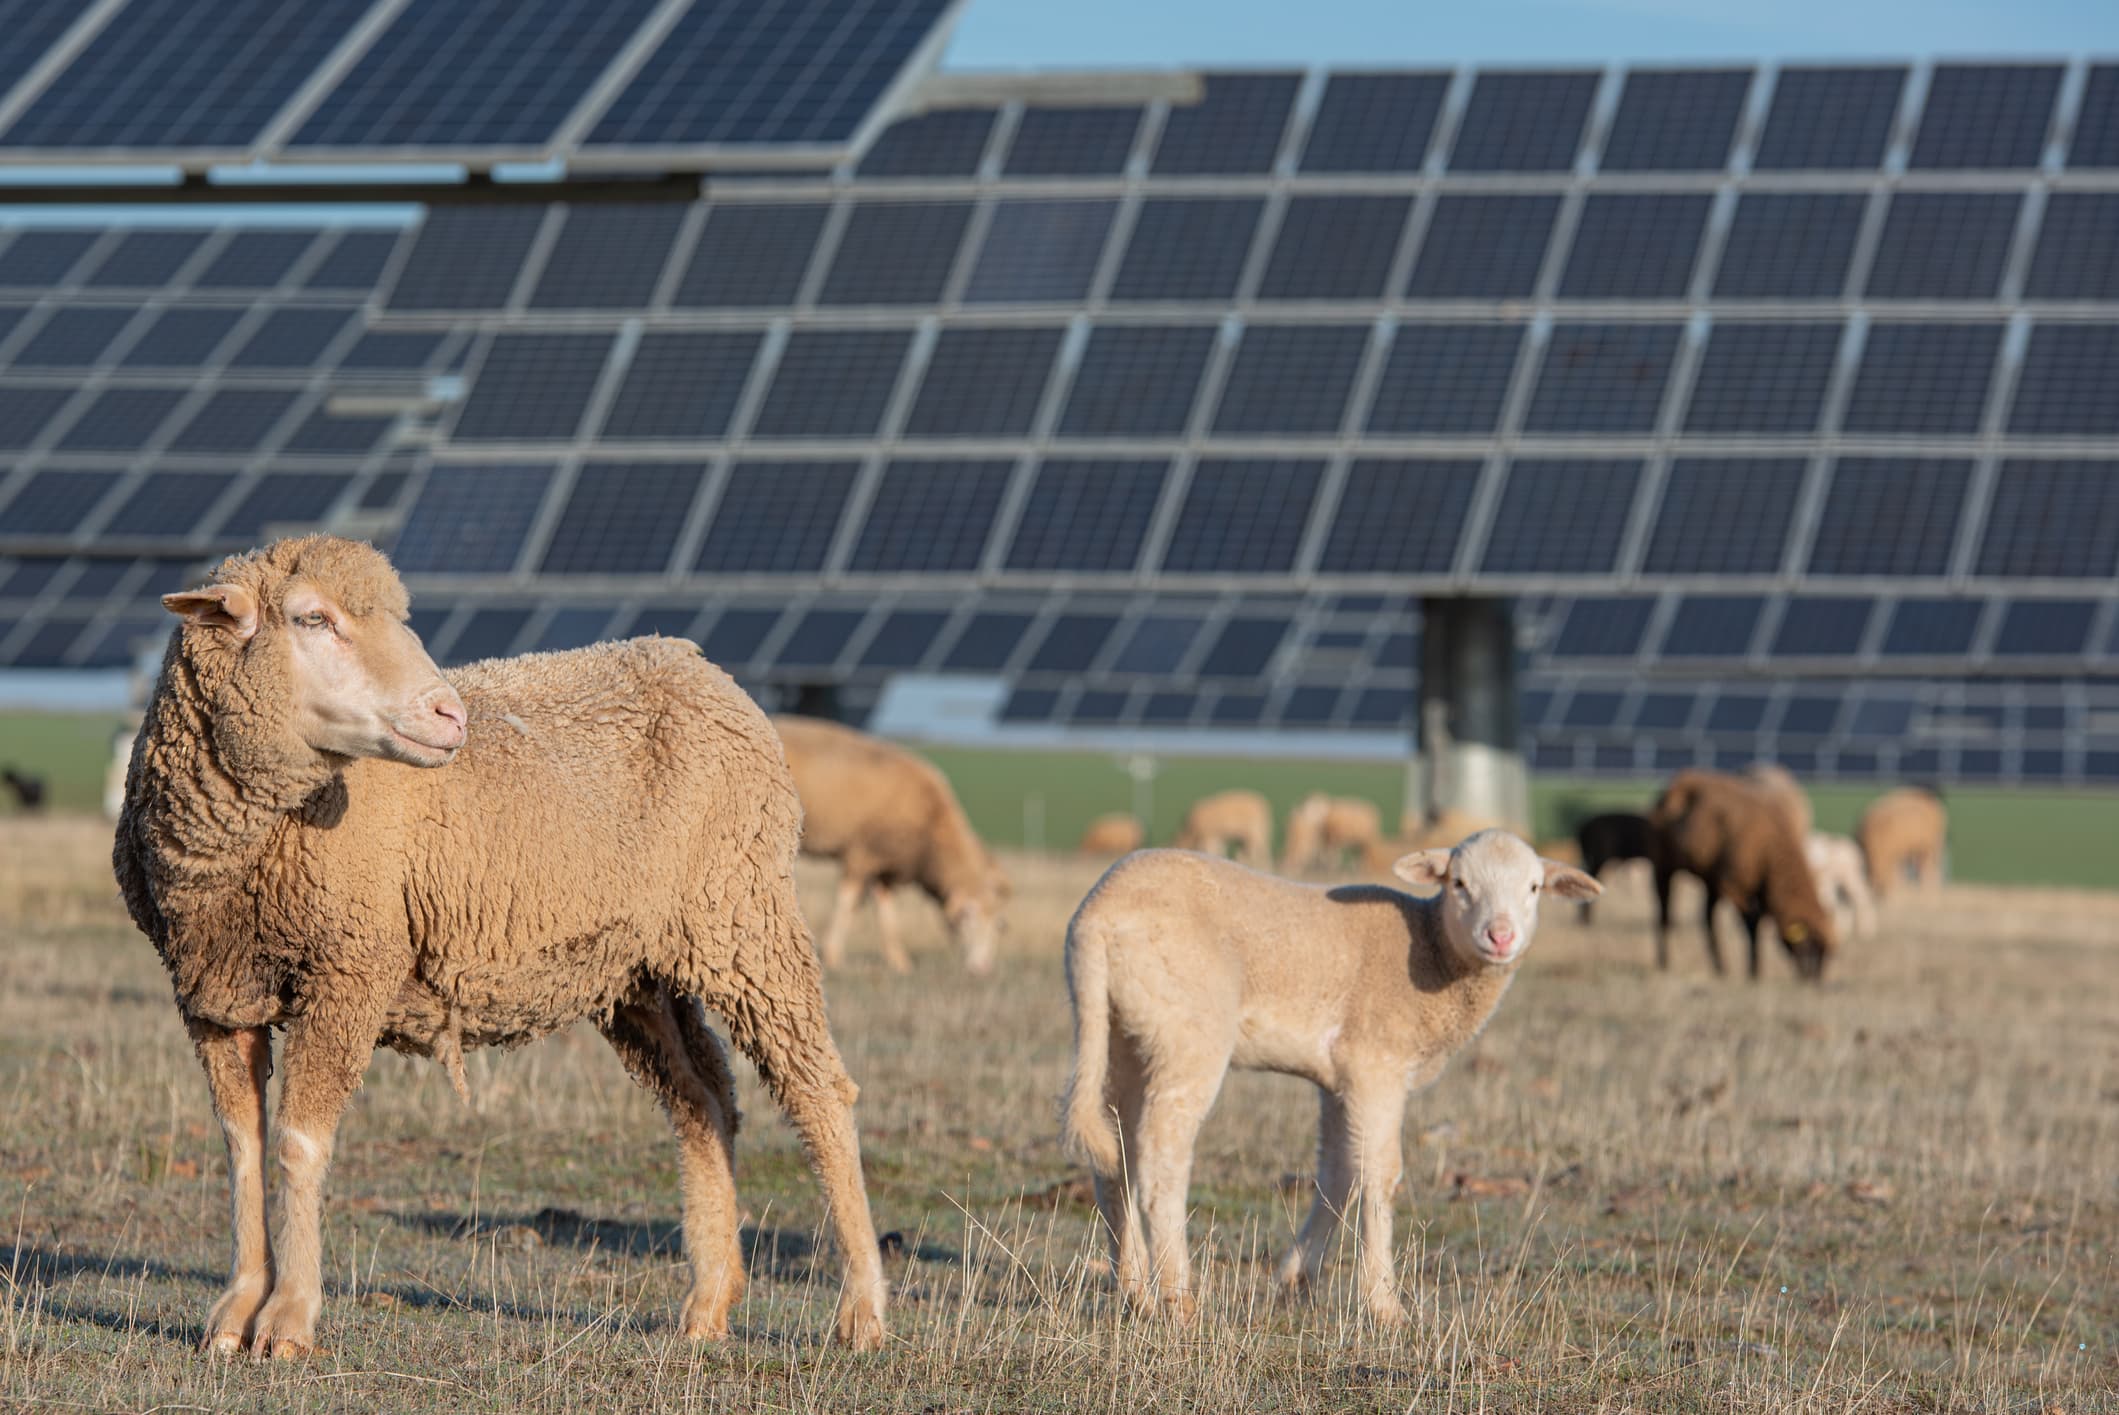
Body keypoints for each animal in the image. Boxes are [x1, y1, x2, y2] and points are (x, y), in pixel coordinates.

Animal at [112, 536, 888, 1358]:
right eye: (312, 618)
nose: (448, 713)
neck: (245, 848)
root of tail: (696, 663)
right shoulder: (213, 992)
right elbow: (242, 1147)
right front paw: (234, 1313)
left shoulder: (351, 970)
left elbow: (296, 1144)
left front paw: (288, 1320)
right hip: (634, 967)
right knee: (703, 1099)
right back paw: (708, 1303)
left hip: (743, 914)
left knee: (818, 1093)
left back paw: (862, 1310)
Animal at [774, 714, 1009, 975]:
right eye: (968, 918)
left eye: (998, 925)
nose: (983, 968)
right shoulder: (861, 855)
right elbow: (846, 907)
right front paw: (834, 956)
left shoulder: (884, 867)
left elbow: (887, 917)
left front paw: (899, 961)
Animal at [1061, 830, 1599, 1324]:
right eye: (1460, 883)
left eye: (1533, 887)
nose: (1500, 936)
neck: (1431, 949)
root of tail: (1096, 917)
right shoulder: (1375, 1063)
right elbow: (1379, 1173)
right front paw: (1382, 1305)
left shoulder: (1338, 1078)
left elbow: (1339, 1172)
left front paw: (1296, 1278)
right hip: (1189, 1028)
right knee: (1161, 1156)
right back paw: (1178, 1297)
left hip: (1124, 1032)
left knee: (1114, 1153)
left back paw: (1135, 1290)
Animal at [1648, 770, 1836, 981]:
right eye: (1811, 945)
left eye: (1828, 954)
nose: (1813, 980)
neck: (1769, 855)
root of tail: (1673, 785)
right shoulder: (1732, 884)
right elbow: (1751, 923)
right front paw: (1754, 971)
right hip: (1663, 863)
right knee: (1664, 912)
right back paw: (1664, 962)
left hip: (1709, 879)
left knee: (1707, 919)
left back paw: (1720, 967)